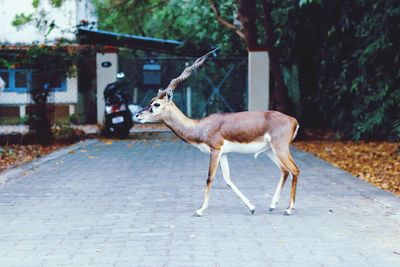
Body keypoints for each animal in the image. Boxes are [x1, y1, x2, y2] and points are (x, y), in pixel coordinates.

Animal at [135, 49, 300, 218]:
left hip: (280, 149)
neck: (198, 126)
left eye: (156, 104)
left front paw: (200, 210)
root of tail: (293, 120)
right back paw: (272, 205)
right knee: (284, 171)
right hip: (270, 151)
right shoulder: (224, 153)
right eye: (151, 101)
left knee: (294, 170)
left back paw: (288, 209)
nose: (137, 115)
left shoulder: (215, 150)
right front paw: (252, 207)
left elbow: (210, 177)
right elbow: (228, 179)